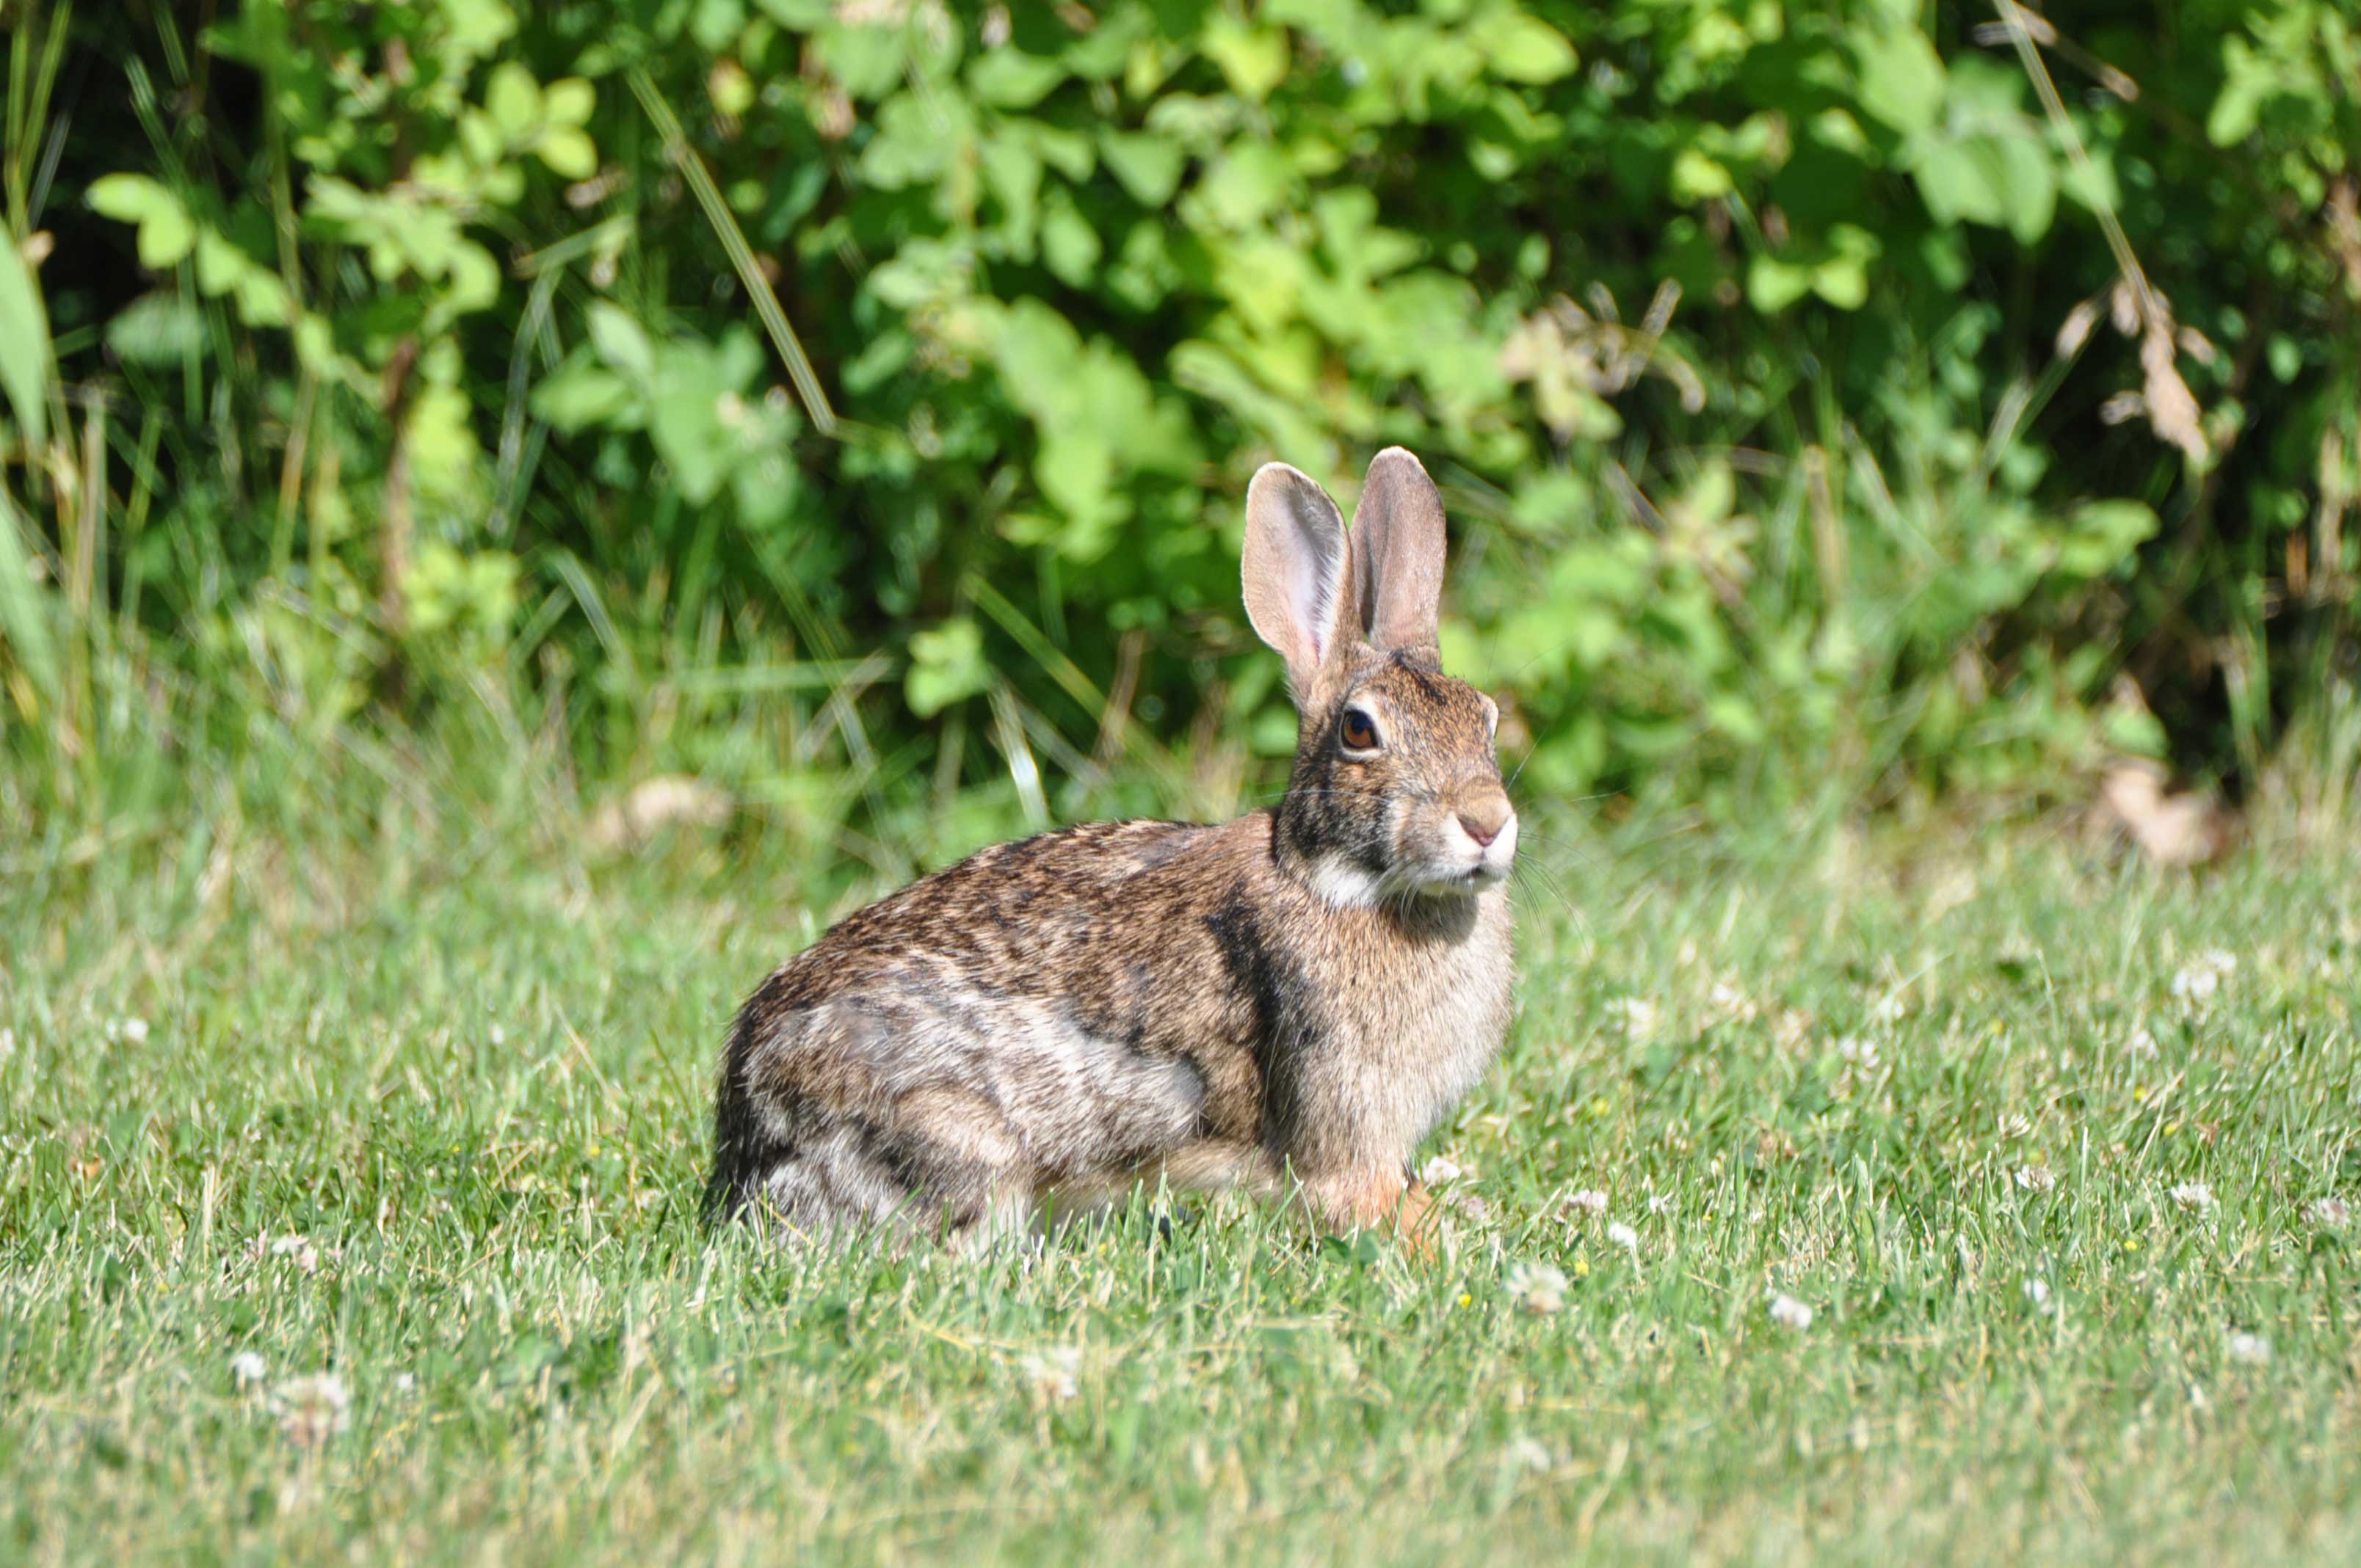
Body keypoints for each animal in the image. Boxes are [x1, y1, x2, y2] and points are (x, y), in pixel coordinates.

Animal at [705, 448, 1517, 1252]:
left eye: (1487, 717)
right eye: (1358, 731)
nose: (1487, 823)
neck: (1334, 879)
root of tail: (745, 1138)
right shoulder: (1343, 1129)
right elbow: (1365, 1196)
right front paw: (1441, 1240)